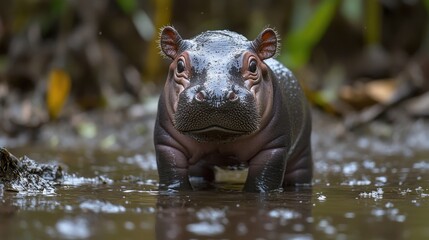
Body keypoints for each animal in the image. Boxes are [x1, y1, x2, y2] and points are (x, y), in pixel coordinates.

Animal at [154, 26, 310, 192]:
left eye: (253, 65)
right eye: (180, 65)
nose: (216, 95)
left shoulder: (274, 147)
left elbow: (262, 180)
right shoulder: (168, 145)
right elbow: (173, 176)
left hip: (303, 151)